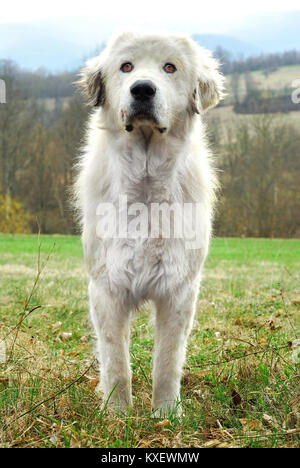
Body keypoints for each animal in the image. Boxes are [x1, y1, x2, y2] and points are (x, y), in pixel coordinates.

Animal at [74, 31, 224, 414]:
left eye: (169, 67)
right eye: (126, 67)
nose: (142, 89)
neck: (144, 182)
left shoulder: (178, 291)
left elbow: (167, 360)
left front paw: (166, 414)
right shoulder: (107, 290)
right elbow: (116, 361)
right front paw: (117, 414)